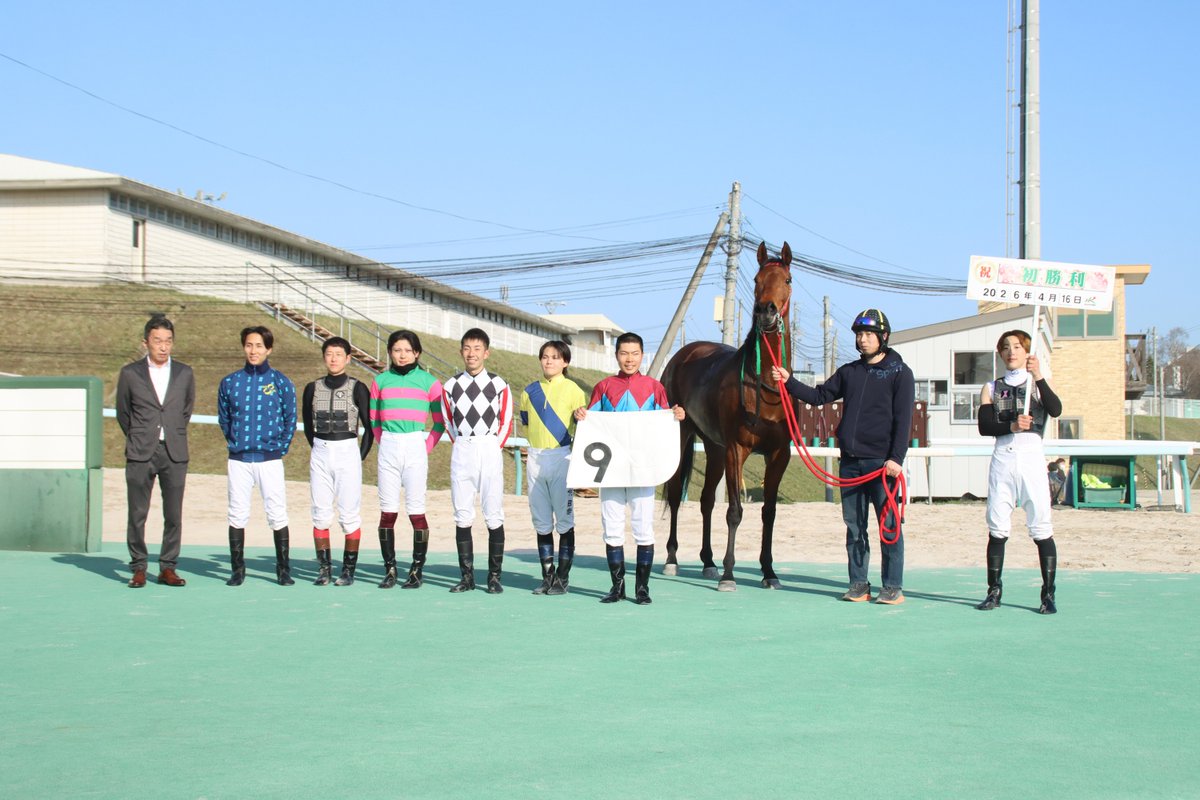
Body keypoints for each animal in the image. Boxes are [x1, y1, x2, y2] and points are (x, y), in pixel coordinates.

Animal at [661, 241, 795, 591]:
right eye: (757, 279)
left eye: (787, 280)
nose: (766, 311)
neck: (762, 383)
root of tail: (683, 354)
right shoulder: (738, 449)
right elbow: (734, 510)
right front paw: (729, 574)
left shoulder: (779, 453)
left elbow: (769, 512)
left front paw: (769, 572)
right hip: (684, 437)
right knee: (676, 496)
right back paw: (672, 559)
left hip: (715, 447)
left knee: (707, 500)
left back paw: (708, 562)